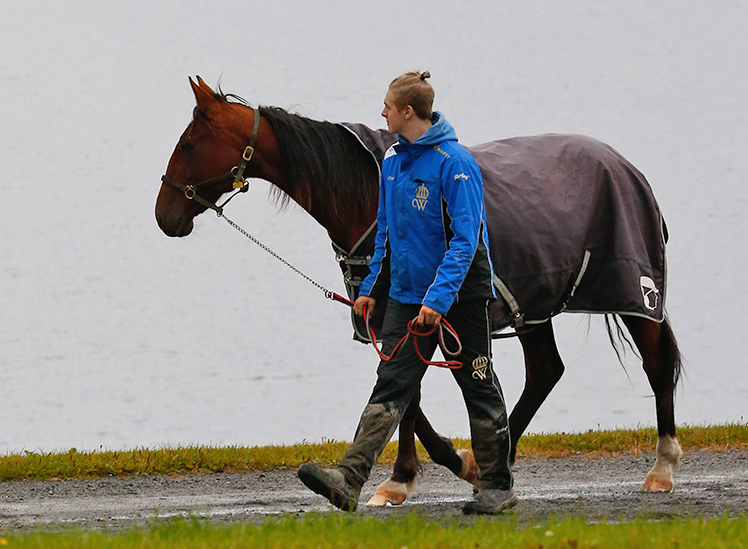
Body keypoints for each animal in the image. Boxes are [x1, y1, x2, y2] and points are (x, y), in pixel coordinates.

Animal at [156, 77, 684, 506]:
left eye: (189, 143)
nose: (164, 215)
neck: (368, 188)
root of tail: (625, 166)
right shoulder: (390, 313)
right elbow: (404, 393)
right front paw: (411, 476)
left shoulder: (421, 313)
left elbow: (408, 391)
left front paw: (434, 469)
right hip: (534, 305)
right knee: (546, 371)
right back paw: (502, 457)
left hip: (635, 294)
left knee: (655, 364)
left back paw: (661, 467)